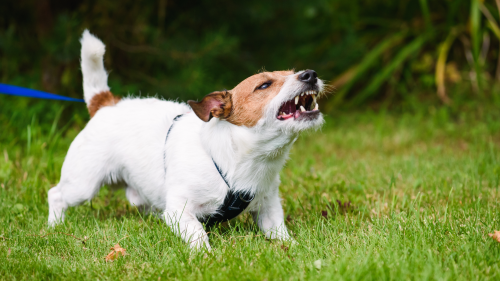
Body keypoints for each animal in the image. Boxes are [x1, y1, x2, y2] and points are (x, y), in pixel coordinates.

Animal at [48, 30, 326, 249]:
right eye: (264, 85)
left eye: (293, 72)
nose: (310, 74)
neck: (240, 159)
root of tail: (106, 104)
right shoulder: (179, 210)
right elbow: (198, 233)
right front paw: (205, 255)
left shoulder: (269, 206)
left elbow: (279, 231)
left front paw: (293, 248)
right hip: (82, 184)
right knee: (56, 194)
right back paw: (54, 226)